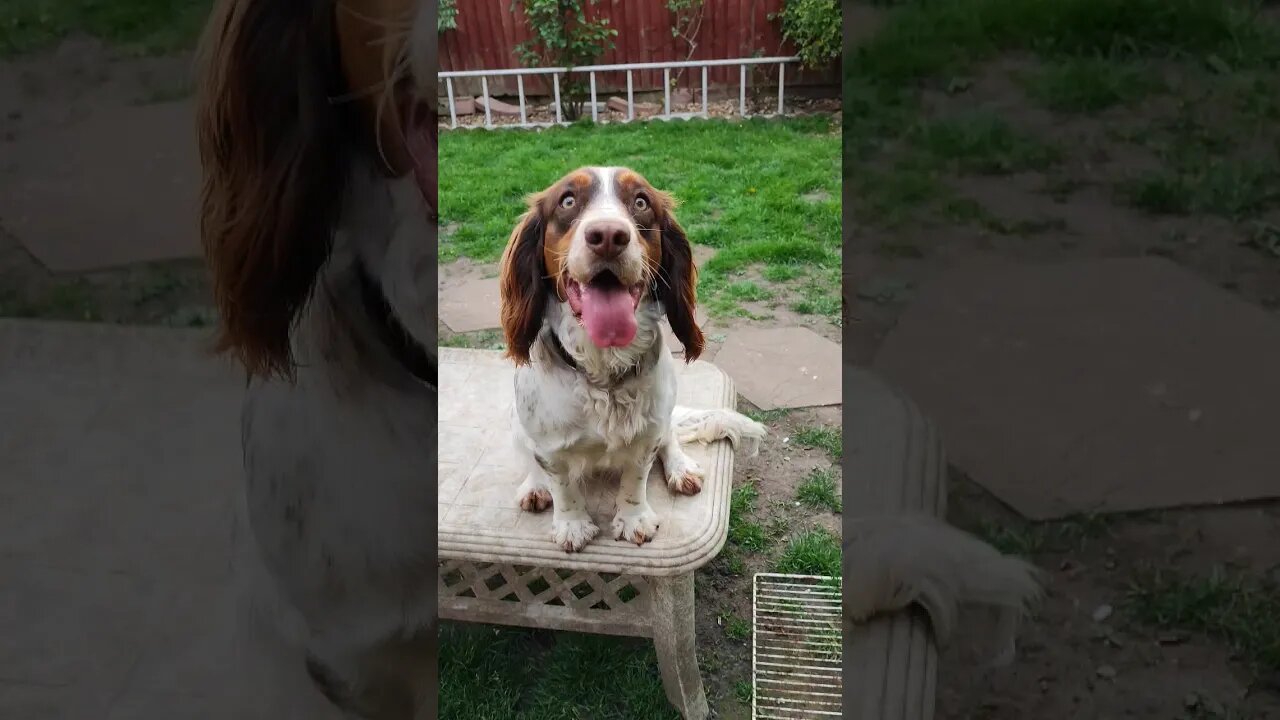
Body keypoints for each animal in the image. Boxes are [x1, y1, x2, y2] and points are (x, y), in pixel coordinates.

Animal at [496, 166, 757, 548]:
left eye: (641, 202)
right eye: (568, 200)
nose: (608, 236)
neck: (604, 369)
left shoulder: (647, 434)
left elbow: (636, 478)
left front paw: (634, 520)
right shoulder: (548, 444)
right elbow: (562, 485)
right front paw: (572, 525)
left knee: (670, 436)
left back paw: (681, 469)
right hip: (517, 422)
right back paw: (534, 487)